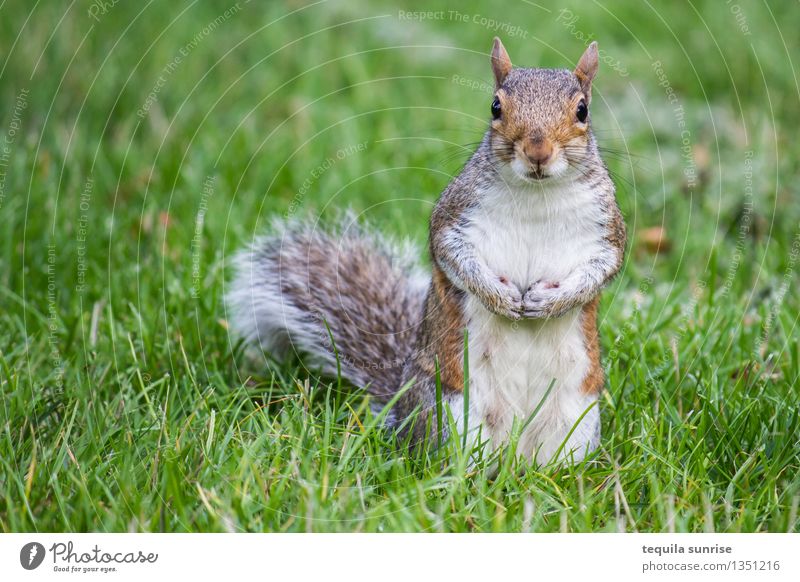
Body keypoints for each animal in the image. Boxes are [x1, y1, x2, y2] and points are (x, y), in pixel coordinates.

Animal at [225, 38, 624, 468]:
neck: (538, 193)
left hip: (576, 417)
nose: (538, 151)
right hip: (451, 412)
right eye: (495, 106)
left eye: (582, 110)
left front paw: (550, 302)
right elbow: (451, 254)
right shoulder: (454, 216)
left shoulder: (607, 230)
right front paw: (499, 297)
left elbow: (604, 268)